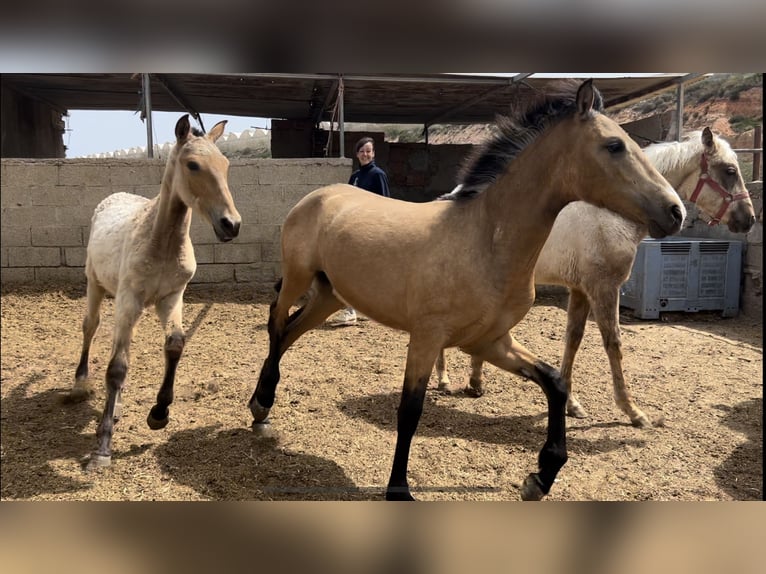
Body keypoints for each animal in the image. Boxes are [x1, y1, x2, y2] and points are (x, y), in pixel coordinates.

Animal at [71, 115, 243, 470]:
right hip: (96, 284)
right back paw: (81, 383)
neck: (160, 242)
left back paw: (118, 406)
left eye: (225, 164)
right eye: (193, 165)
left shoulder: (171, 297)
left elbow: (174, 344)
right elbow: (117, 367)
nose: (231, 224)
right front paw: (102, 449)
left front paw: (159, 413)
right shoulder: (129, 299)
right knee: (91, 327)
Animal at [438, 129, 756, 428]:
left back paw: (470, 382)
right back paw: (445, 380)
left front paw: (571, 403)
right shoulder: (604, 288)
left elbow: (573, 339)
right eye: (730, 170)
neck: (611, 216)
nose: (749, 219)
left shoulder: (580, 290)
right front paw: (632, 411)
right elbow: (613, 343)